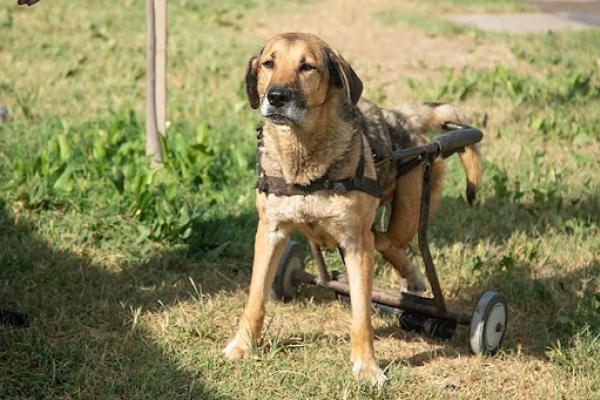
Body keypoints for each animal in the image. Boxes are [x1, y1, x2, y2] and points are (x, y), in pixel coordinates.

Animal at [225, 32, 482, 382]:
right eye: (268, 63)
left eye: (307, 67)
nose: (276, 96)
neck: (303, 158)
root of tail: (401, 117)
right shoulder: (270, 233)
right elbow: (255, 299)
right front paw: (242, 346)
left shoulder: (356, 244)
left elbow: (362, 317)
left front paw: (367, 367)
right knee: (383, 241)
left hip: (408, 214)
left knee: (388, 241)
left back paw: (413, 282)